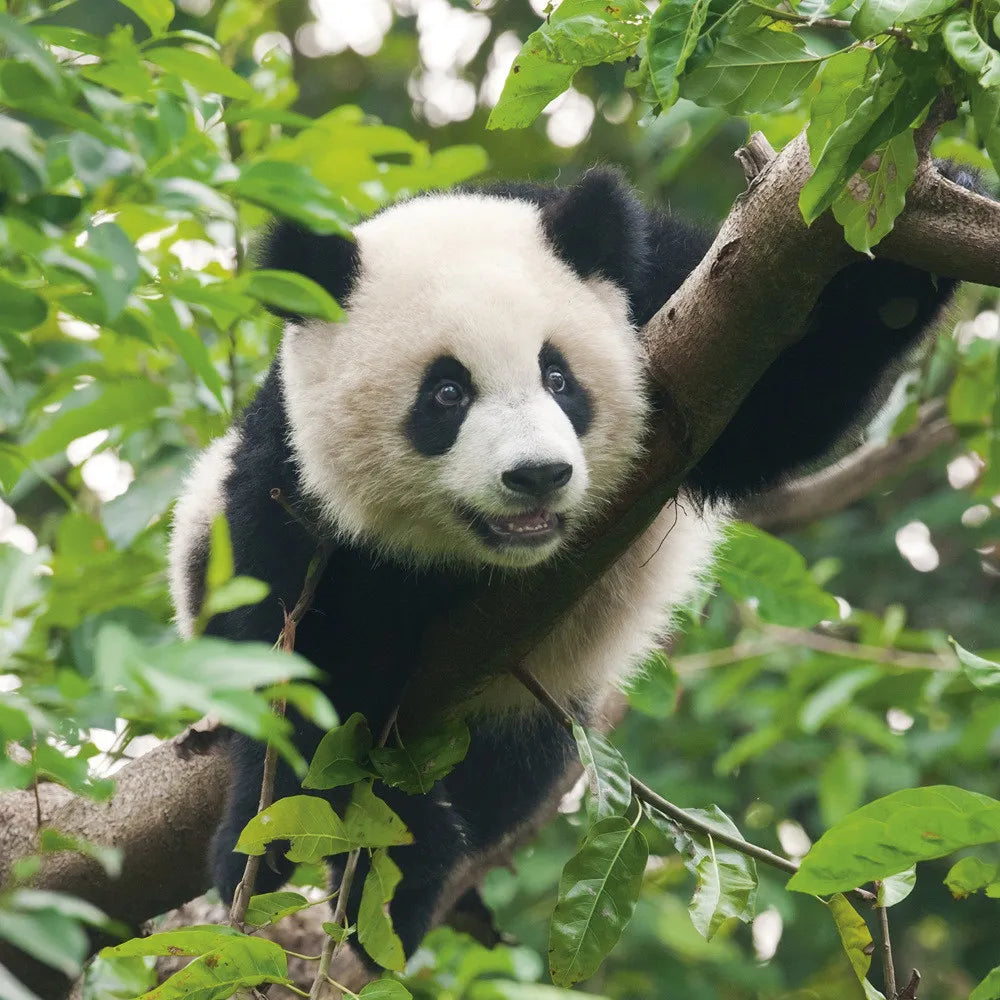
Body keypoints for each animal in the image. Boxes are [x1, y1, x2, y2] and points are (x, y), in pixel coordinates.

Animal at [168, 166, 973, 963]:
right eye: (447, 392)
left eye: (558, 377)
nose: (537, 475)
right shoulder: (290, 483)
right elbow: (305, 668)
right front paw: (309, 845)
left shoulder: (676, 299)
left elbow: (776, 405)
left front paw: (910, 243)